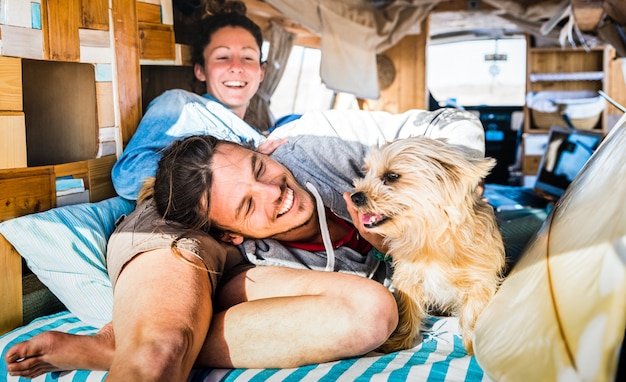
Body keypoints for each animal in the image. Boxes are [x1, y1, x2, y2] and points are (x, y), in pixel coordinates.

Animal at [348, 136, 504, 354]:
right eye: (366, 172)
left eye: (392, 176)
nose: (355, 196)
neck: (431, 234)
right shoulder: (409, 277)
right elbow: (409, 309)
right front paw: (399, 341)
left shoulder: (480, 280)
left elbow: (473, 315)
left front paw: (473, 346)